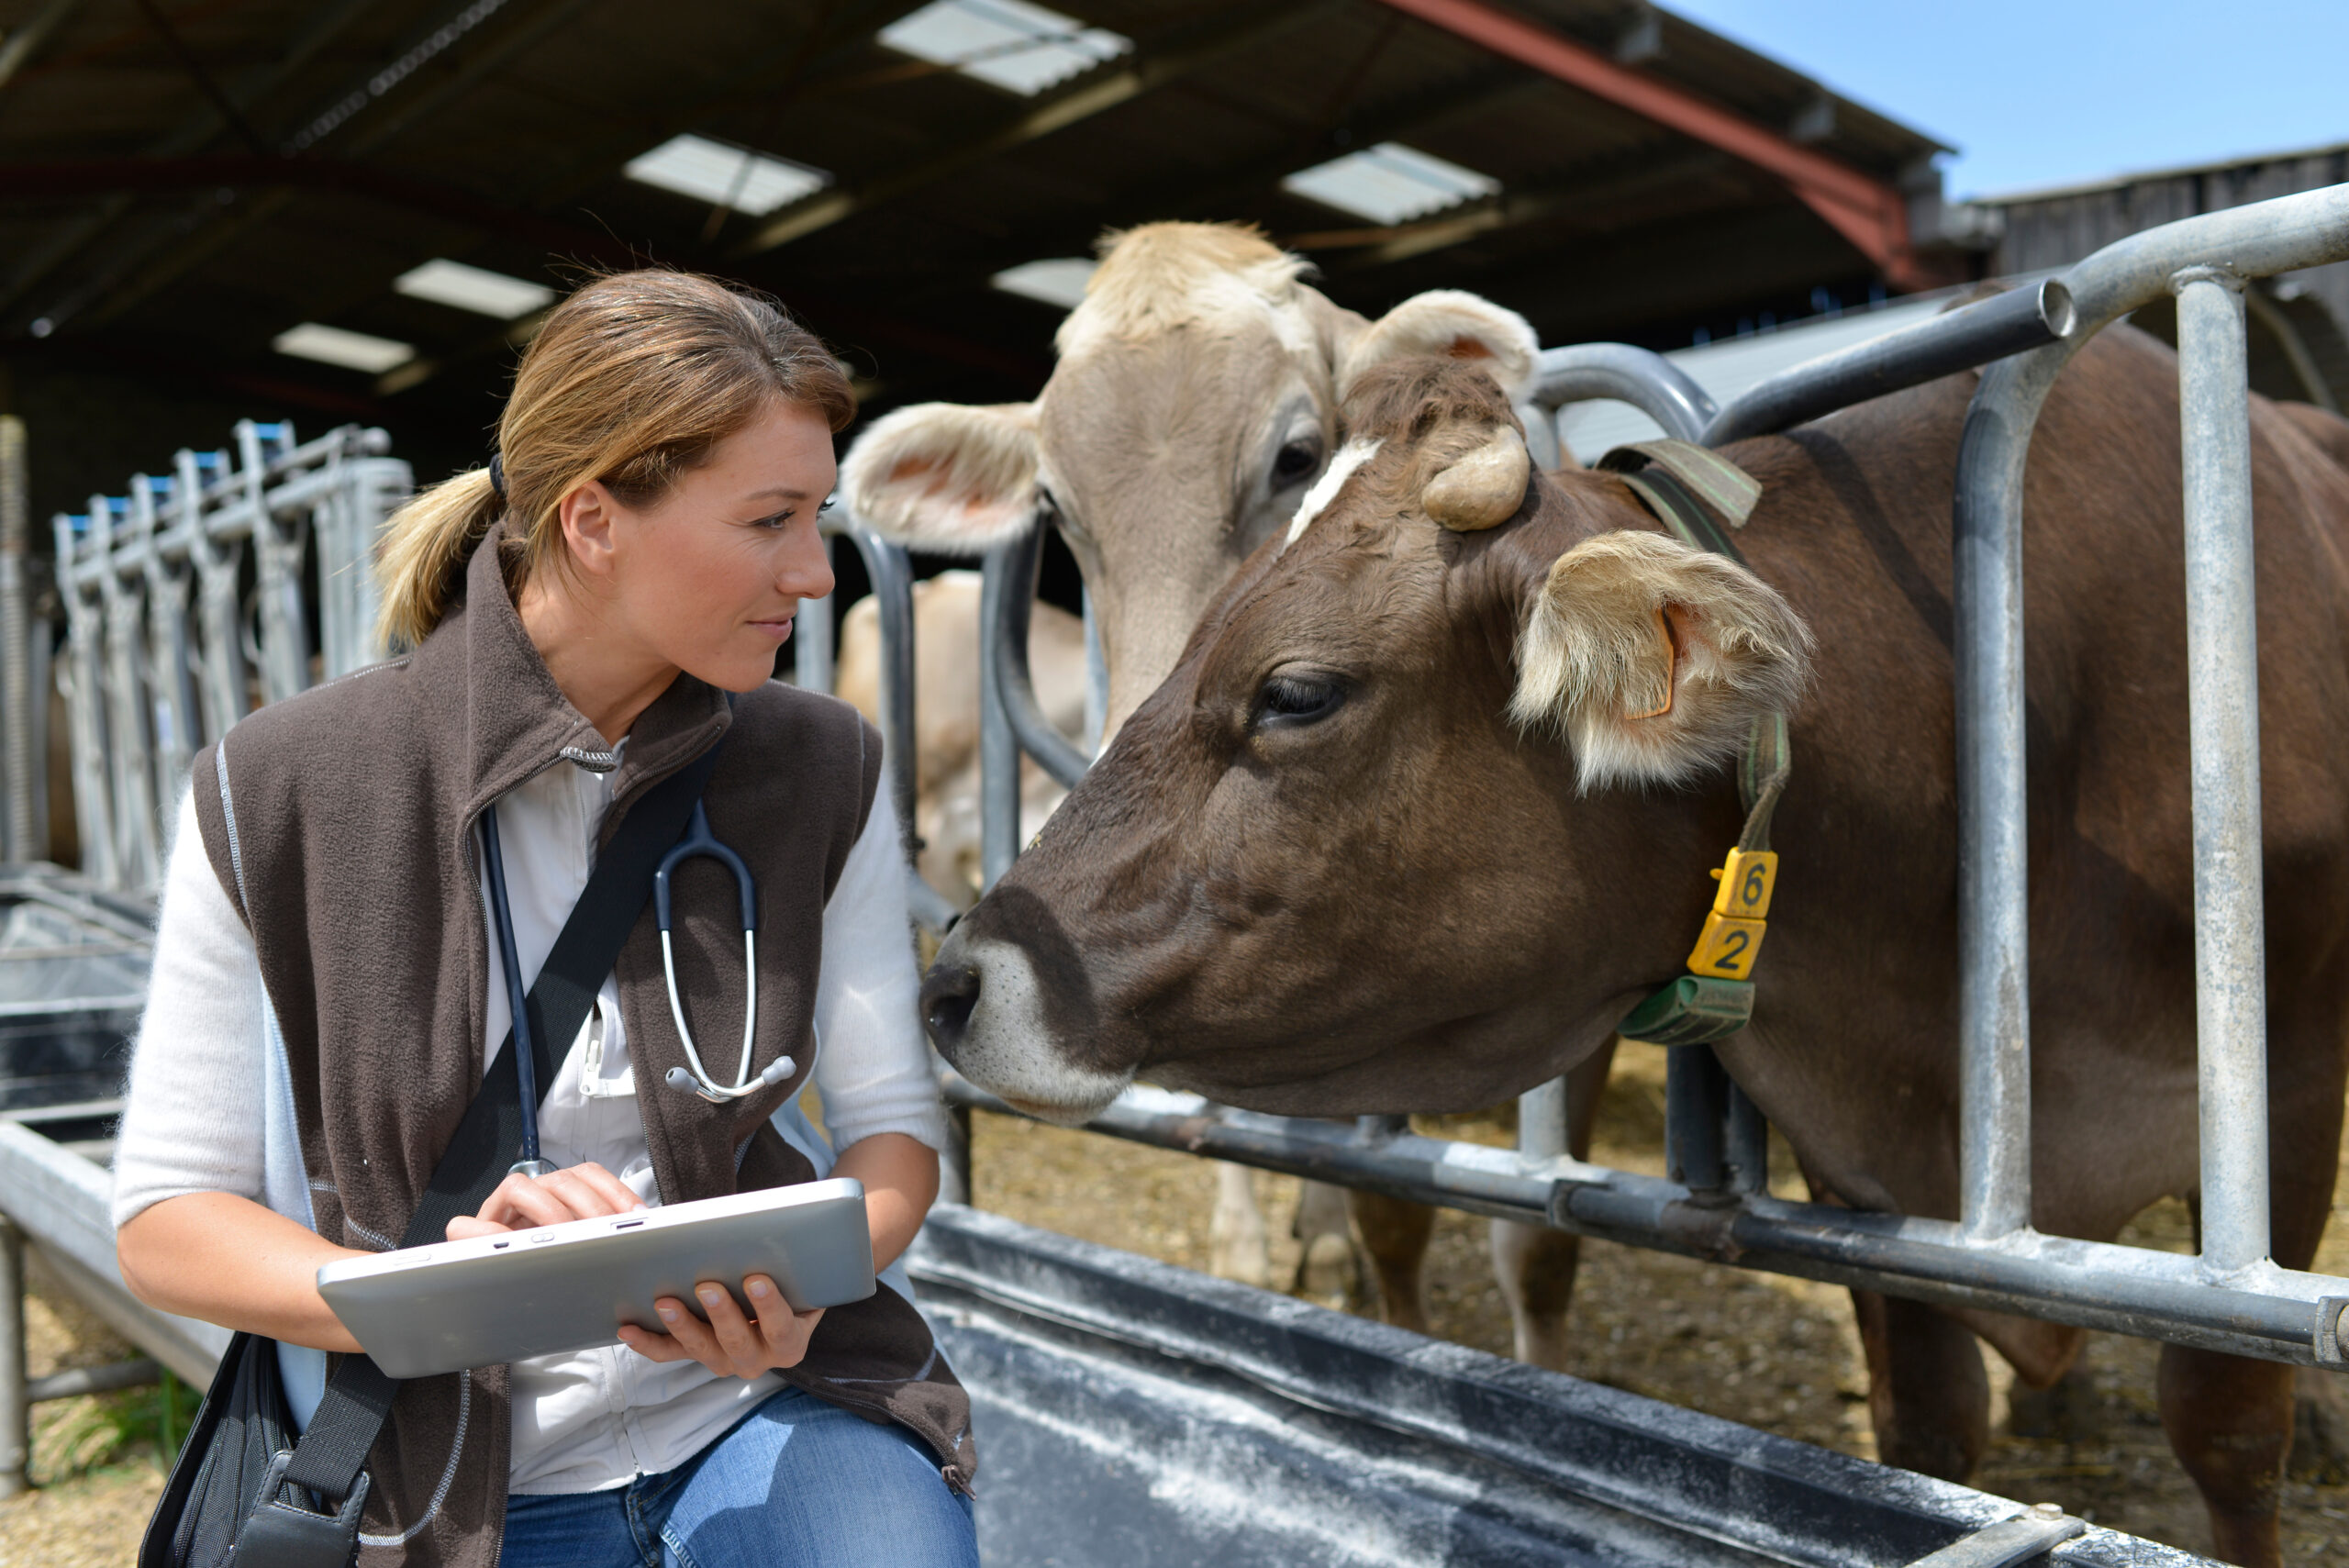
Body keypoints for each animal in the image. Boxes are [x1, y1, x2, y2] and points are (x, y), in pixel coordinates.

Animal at [916, 339, 2349, 1568]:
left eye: (1296, 692)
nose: (953, 979)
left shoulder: (2280, 1094)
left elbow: (2227, 1421)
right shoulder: (1870, 1163)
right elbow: (1933, 1423)